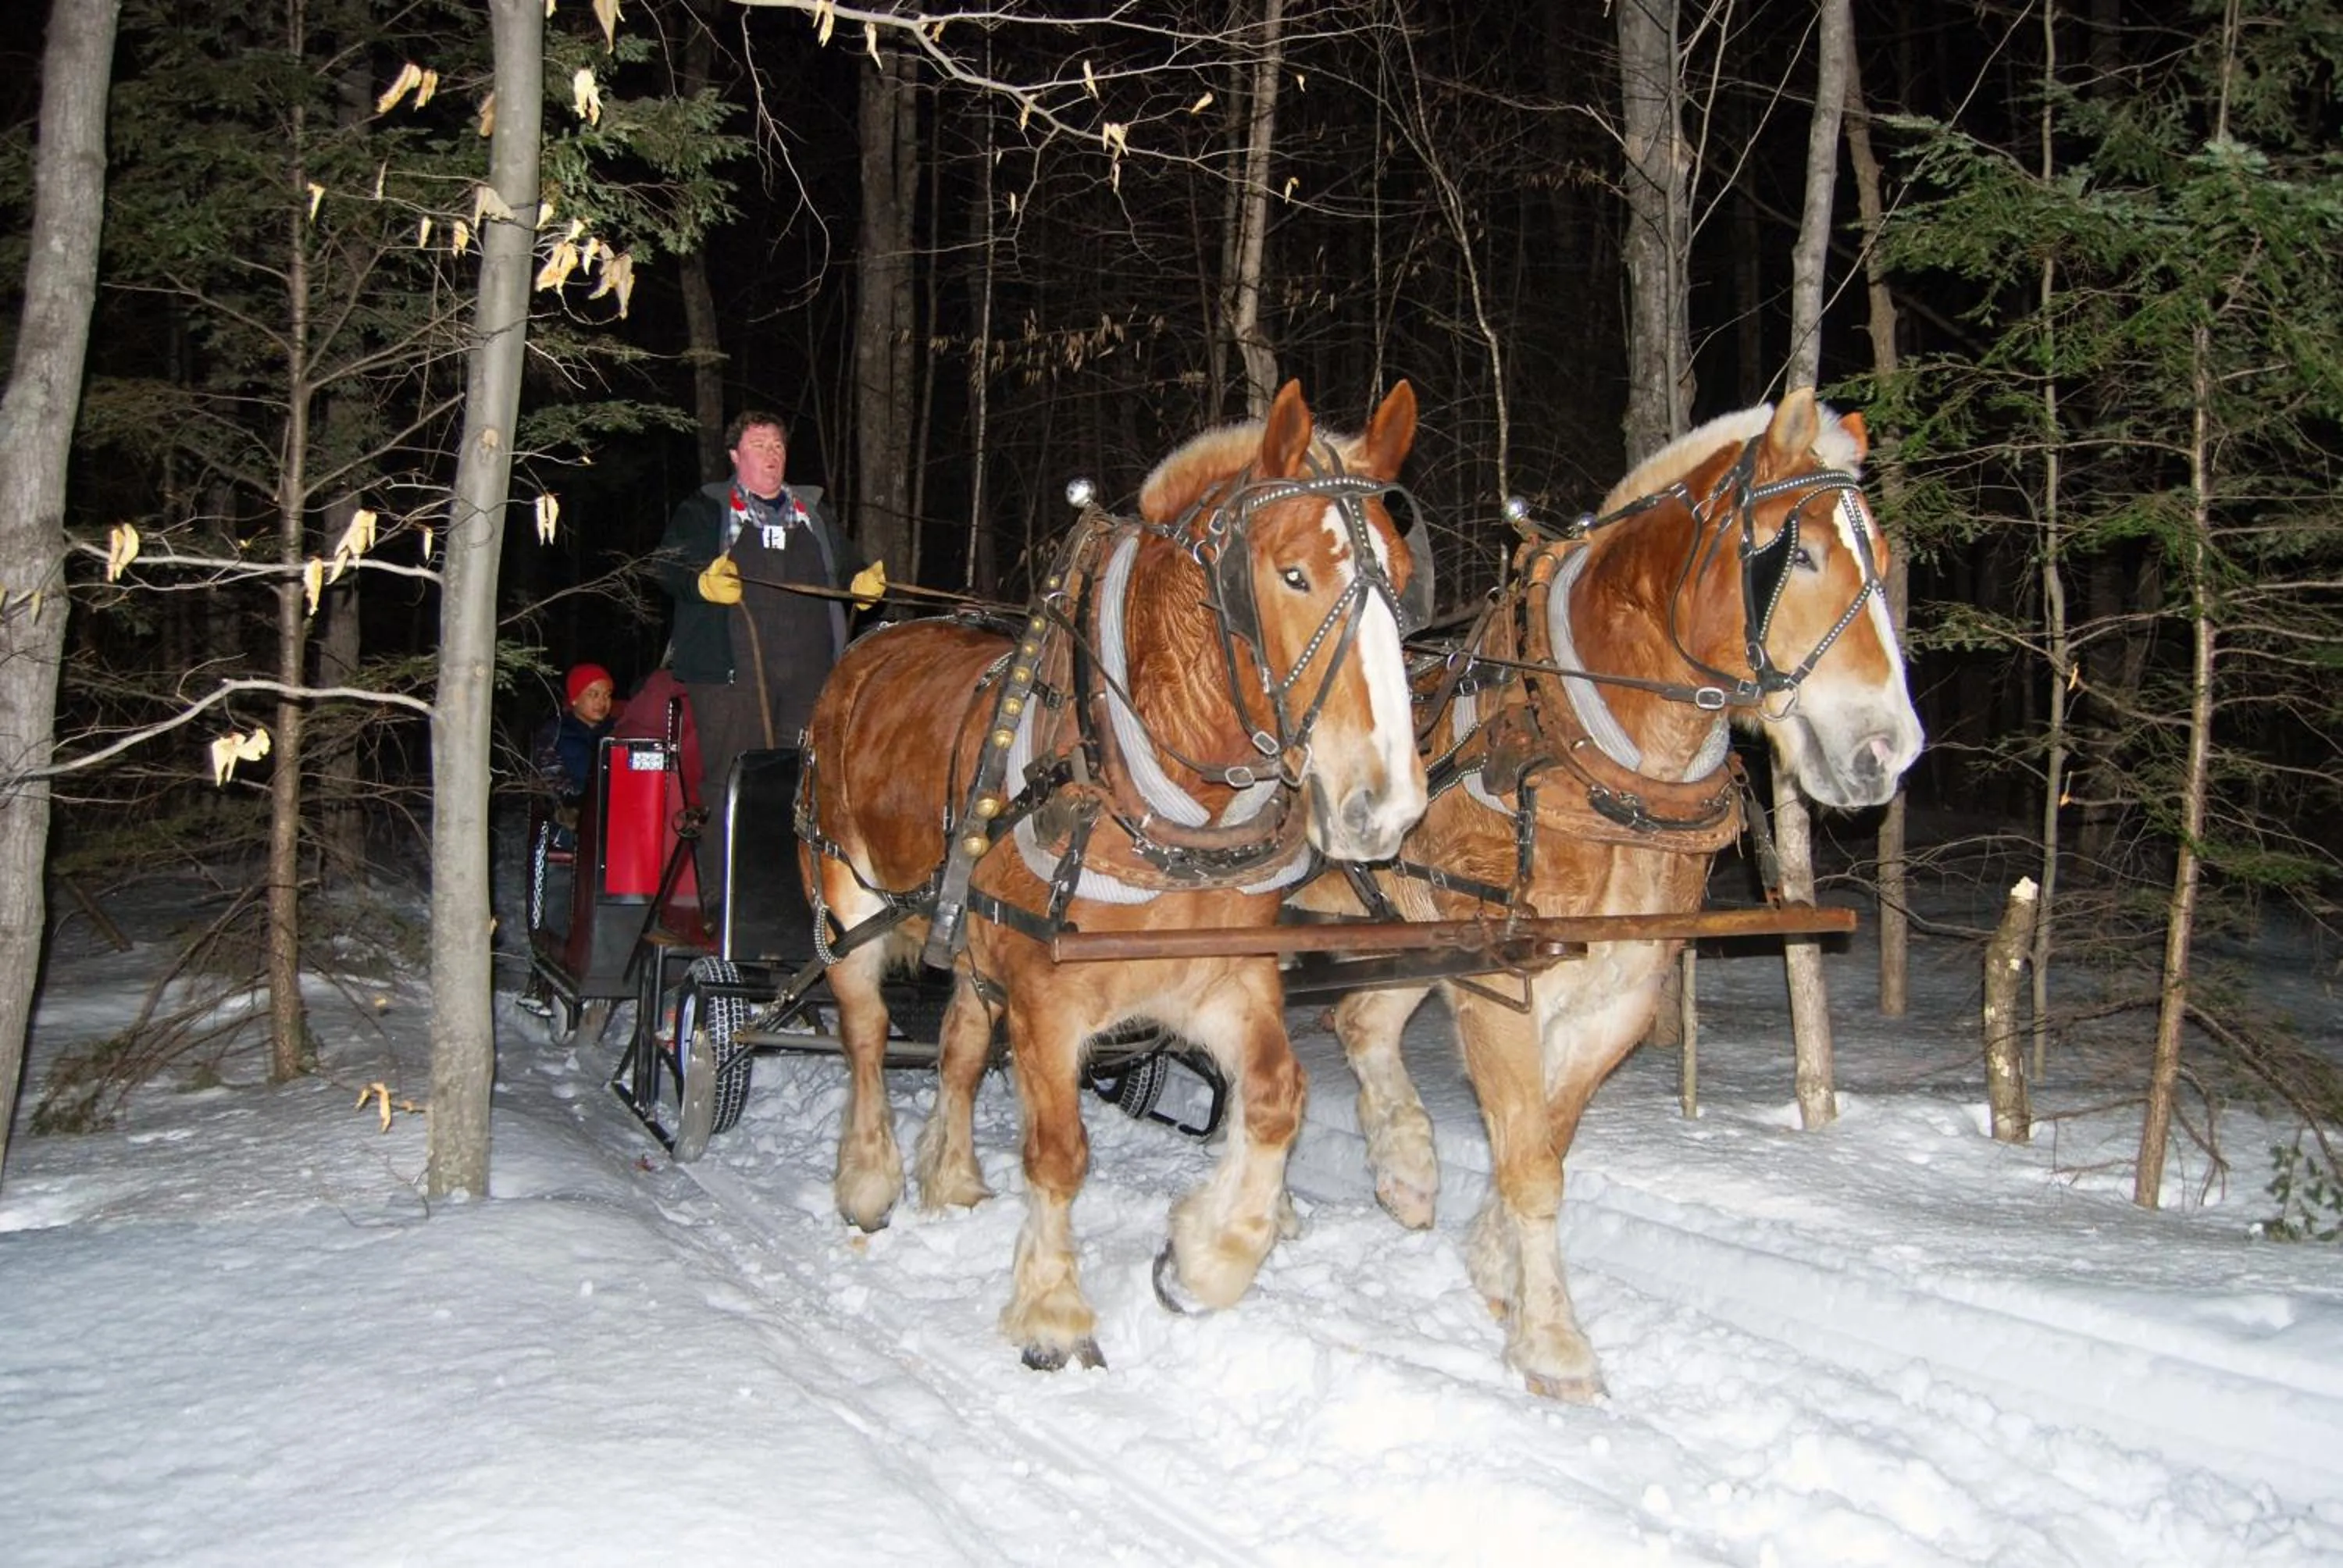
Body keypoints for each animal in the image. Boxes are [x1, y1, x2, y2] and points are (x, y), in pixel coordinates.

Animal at [799, 379, 1429, 1371]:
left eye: (1401, 579)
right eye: (1293, 575)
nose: (1388, 806)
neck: (1163, 809)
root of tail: (874, 642)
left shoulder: (1223, 978)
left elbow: (1276, 1099)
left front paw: (1204, 1256)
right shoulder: (1047, 998)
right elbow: (1060, 1152)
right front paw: (1053, 1311)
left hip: (972, 938)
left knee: (958, 1048)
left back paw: (953, 1177)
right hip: (844, 894)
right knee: (865, 1031)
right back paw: (870, 1179)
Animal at [1302, 389, 1923, 1400]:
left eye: (1887, 558)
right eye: (1797, 554)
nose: (1887, 748)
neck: (1597, 764)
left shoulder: (1622, 988)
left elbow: (1547, 1140)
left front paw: (1495, 1265)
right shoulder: (1499, 982)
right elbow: (1528, 1159)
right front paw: (1555, 1345)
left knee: (1359, 1022)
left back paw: (1405, 1166)